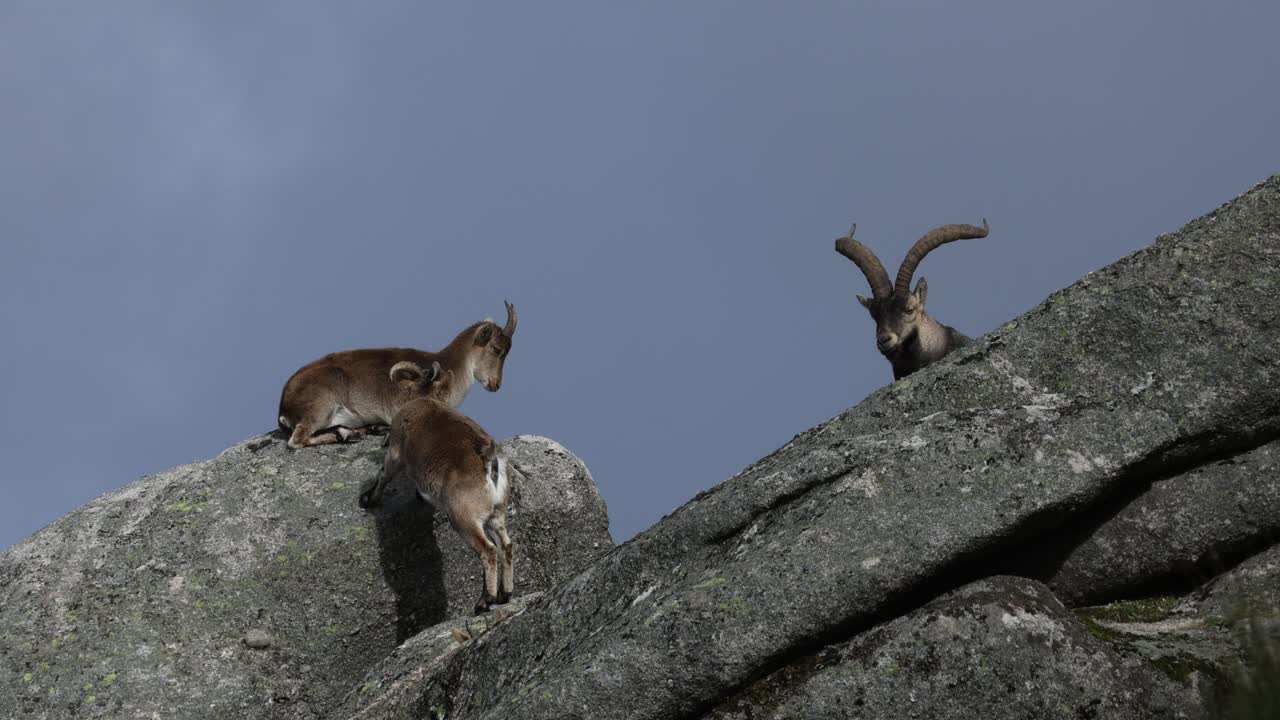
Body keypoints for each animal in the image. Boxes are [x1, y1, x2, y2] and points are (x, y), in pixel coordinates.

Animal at [277, 302, 517, 449]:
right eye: (497, 349)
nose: (496, 384)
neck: (453, 367)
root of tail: (284, 405)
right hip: (320, 408)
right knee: (297, 439)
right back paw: (350, 434)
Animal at [358, 360, 513, 615]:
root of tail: (489, 461)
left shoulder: (396, 453)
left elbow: (383, 475)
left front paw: (368, 499)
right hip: (496, 515)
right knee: (505, 546)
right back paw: (504, 595)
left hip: (463, 518)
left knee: (488, 551)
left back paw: (484, 602)